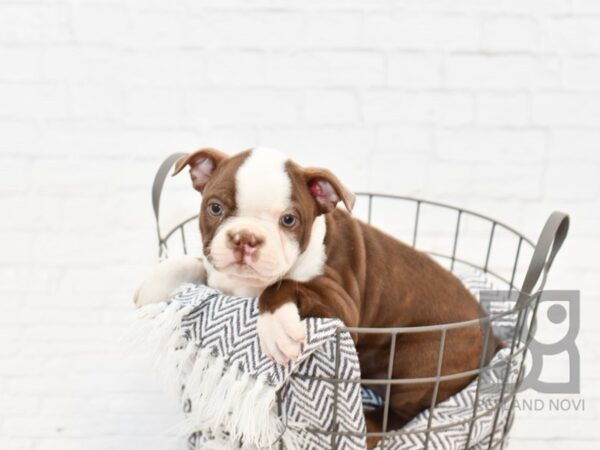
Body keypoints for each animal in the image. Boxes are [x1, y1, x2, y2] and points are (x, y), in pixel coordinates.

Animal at [136, 147, 496, 440]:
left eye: (289, 220)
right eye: (214, 208)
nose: (245, 239)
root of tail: (494, 336)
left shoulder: (343, 304)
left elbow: (285, 284)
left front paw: (277, 328)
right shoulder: (218, 274)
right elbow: (195, 262)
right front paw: (154, 282)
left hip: (419, 360)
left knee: (400, 414)